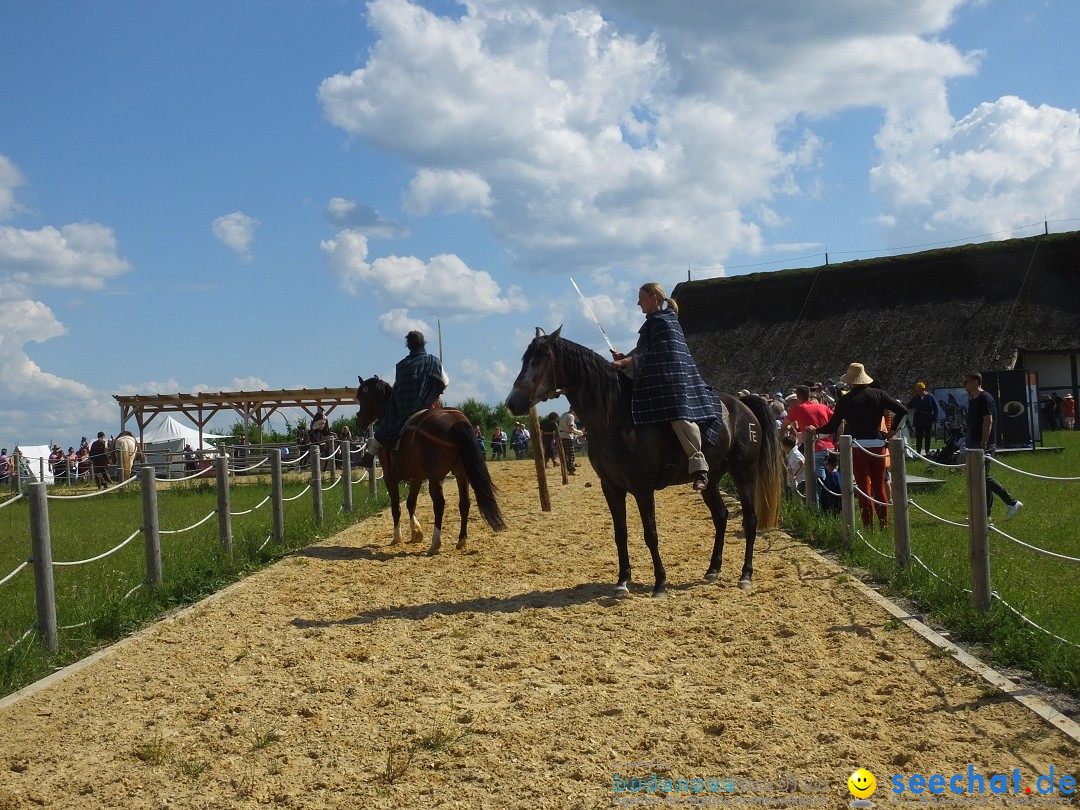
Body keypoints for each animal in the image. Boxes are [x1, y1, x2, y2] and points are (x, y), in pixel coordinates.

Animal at [356, 378, 503, 557]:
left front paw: (397, 537)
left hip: (436, 478)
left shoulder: (390, 477)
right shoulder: (417, 477)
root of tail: (456, 421)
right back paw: (461, 540)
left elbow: (396, 507)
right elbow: (410, 503)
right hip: (461, 474)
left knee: (439, 504)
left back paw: (435, 544)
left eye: (362, 396)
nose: (359, 419)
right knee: (464, 503)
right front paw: (416, 533)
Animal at [501, 328, 781, 596]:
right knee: (721, 517)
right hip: (711, 479)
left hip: (744, 473)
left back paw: (745, 576)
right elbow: (620, 534)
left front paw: (660, 583)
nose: (512, 403)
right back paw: (713, 569)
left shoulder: (643, 489)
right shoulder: (611, 488)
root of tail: (743, 406)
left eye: (538, 360)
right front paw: (622, 581)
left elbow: (651, 534)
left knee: (750, 521)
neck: (617, 419)